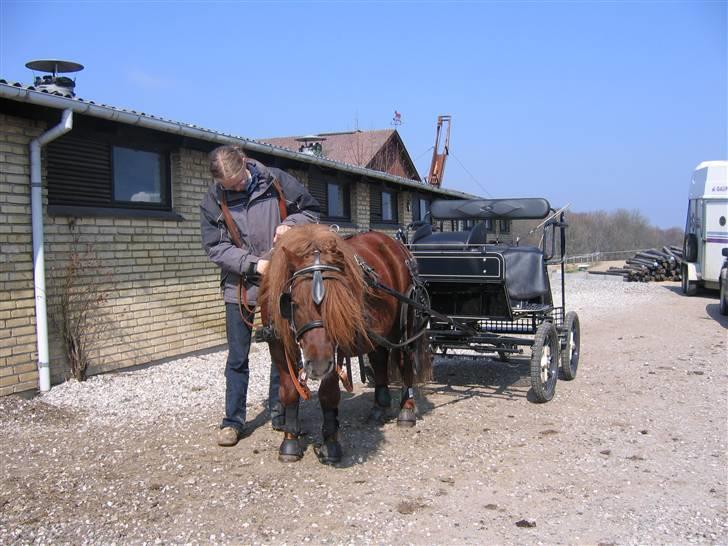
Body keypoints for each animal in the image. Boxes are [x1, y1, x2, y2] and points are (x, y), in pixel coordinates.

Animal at [258, 223, 430, 462]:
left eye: (340, 302)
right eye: (294, 302)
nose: (318, 366)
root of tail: (397, 245)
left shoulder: (333, 352)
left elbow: (328, 395)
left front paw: (331, 443)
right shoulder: (278, 348)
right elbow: (289, 393)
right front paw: (289, 441)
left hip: (403, 324)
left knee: (404, 359)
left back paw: (406, 409)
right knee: (379, 359)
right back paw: (380, 407)